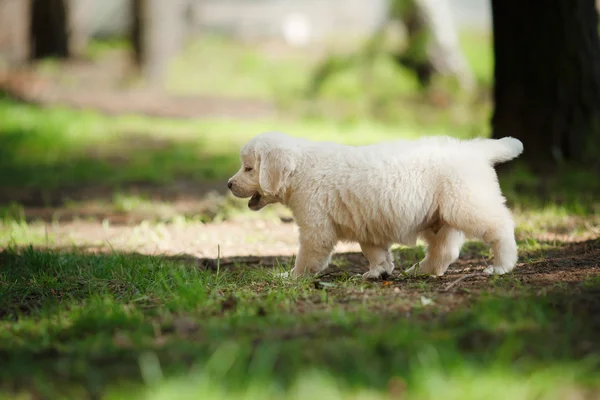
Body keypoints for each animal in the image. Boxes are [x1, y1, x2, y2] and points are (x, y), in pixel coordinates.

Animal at [227, 133, 524, 280]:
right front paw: (378, 272)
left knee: (500, 227)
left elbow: (308, 256)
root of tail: (475, 151)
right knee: (445, 250)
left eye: (249, 168)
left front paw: (290, 276)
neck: (301, 169)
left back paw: (502, 266)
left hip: (466, 203)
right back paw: (422, 270)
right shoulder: (366, 226)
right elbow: (375, 252)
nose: (229, 184)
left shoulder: (315, 225)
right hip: (439, 216)